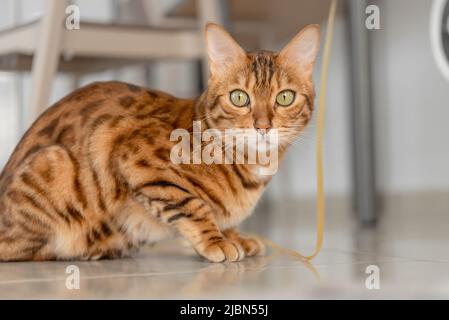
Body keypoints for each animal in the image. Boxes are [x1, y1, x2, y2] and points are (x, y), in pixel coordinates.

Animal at [0, 23, 318, 262]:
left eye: (285, 97)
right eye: (239, 97)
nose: (263, 126)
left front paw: (235, 236)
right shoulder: (130, 149)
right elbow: (193, 204)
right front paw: (216, 240)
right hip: (54, 164)